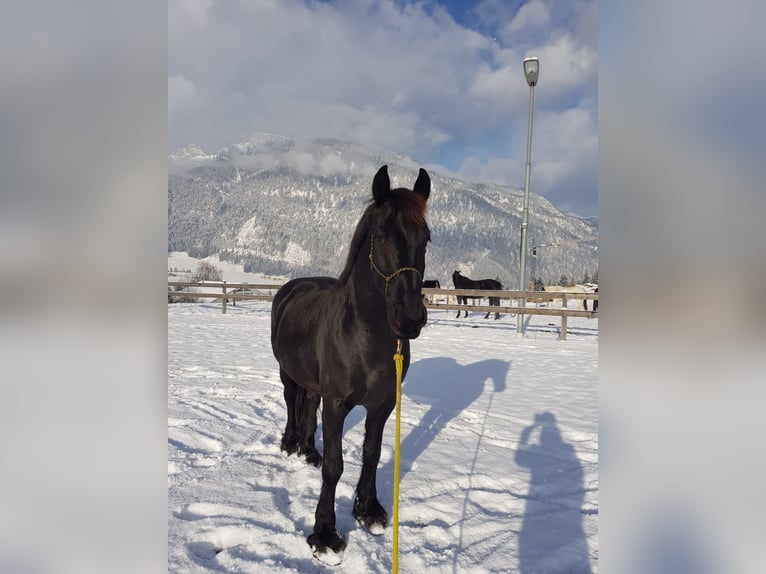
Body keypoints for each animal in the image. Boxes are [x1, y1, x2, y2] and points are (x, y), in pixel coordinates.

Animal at [270, 165, 431, 564]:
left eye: (426, 238)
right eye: (381, 234)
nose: (410, 318)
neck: (364, 337)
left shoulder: (383, 405)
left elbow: (371, 454)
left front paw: (368, 510)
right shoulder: (337, 404)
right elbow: (335, 465)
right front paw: (325, 534)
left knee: (307, 404)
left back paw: (307, 450)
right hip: (286, 373)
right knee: (291, 402)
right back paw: (289, 444)